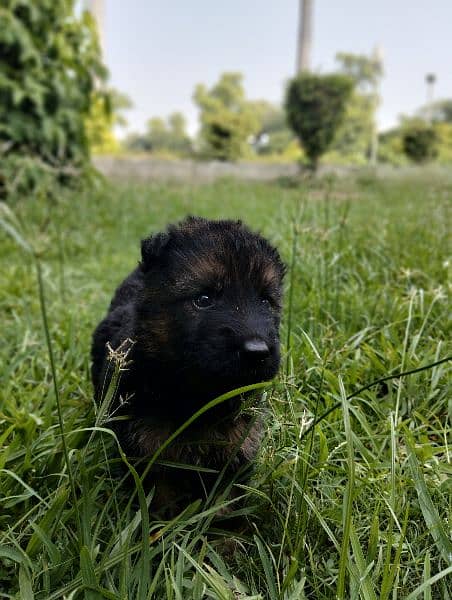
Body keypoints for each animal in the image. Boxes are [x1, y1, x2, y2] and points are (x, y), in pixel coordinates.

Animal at [90, 218, 284, 508]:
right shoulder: (150, 458)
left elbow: (225, 507)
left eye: (266, 300)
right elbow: (161, 505)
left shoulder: (236, 451)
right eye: (203, 299)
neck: (199, 398)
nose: (257, 352)